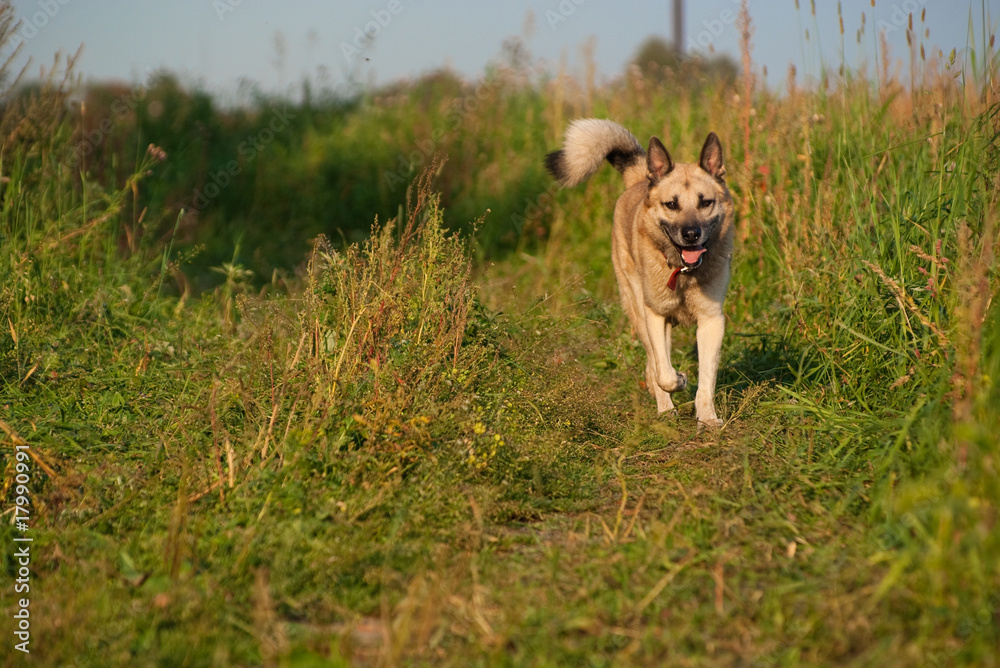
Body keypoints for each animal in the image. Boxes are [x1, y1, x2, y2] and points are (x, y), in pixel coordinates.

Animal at [545, 119, 735, 427]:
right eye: (672, 204)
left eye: (705, 202)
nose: (691, 234)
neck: (683, 272)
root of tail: (639, 180)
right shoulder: (655, 316)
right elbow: (665, 374)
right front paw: (680, 381)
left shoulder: (711, 321)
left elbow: (706, 380)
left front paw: (707, 419)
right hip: (639, 311)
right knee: (654, 365)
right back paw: (665, 409)